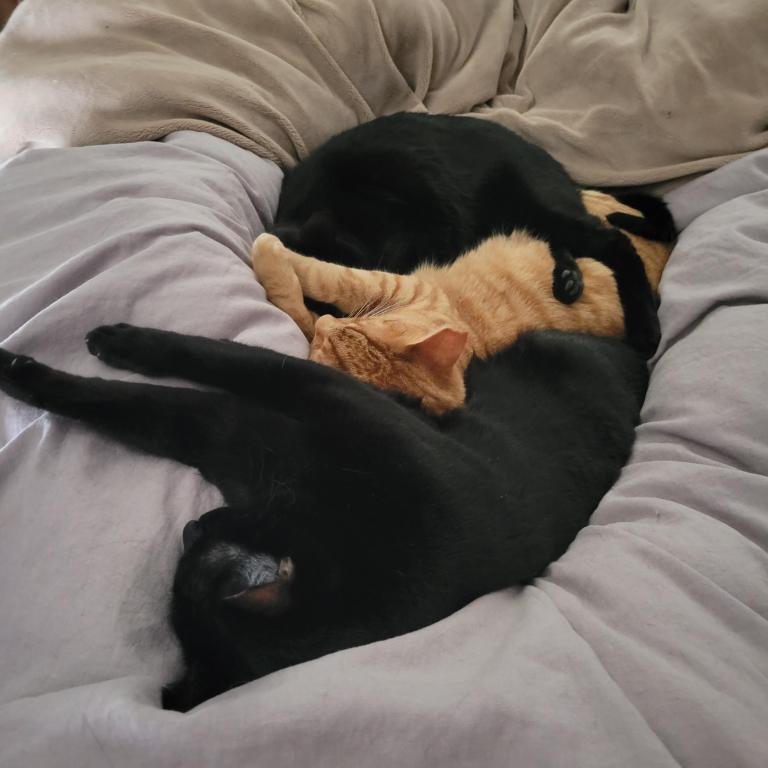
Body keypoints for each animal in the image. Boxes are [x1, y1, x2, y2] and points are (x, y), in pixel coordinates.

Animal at [0, 322, 648, 708]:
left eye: (198, 550)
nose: (191, 524)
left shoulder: (285, 402)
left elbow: (204, 364)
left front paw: (90, 349)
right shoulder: (237, 434)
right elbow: (144, 395)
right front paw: (61, 359)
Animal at [252, 194, 672, 414]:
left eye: (339, 341)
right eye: (354, 329)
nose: (328, 324)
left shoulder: (381, 284)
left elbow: (321, 279)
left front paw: (270, 250)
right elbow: (304, 301)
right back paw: (568, 276)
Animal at [274, 110, 664, 354]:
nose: (350, 317)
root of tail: (560, 169)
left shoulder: (428, 228)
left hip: (537, 206)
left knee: (615, 240)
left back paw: (645, 326)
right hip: (533, 219)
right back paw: (568, 279)